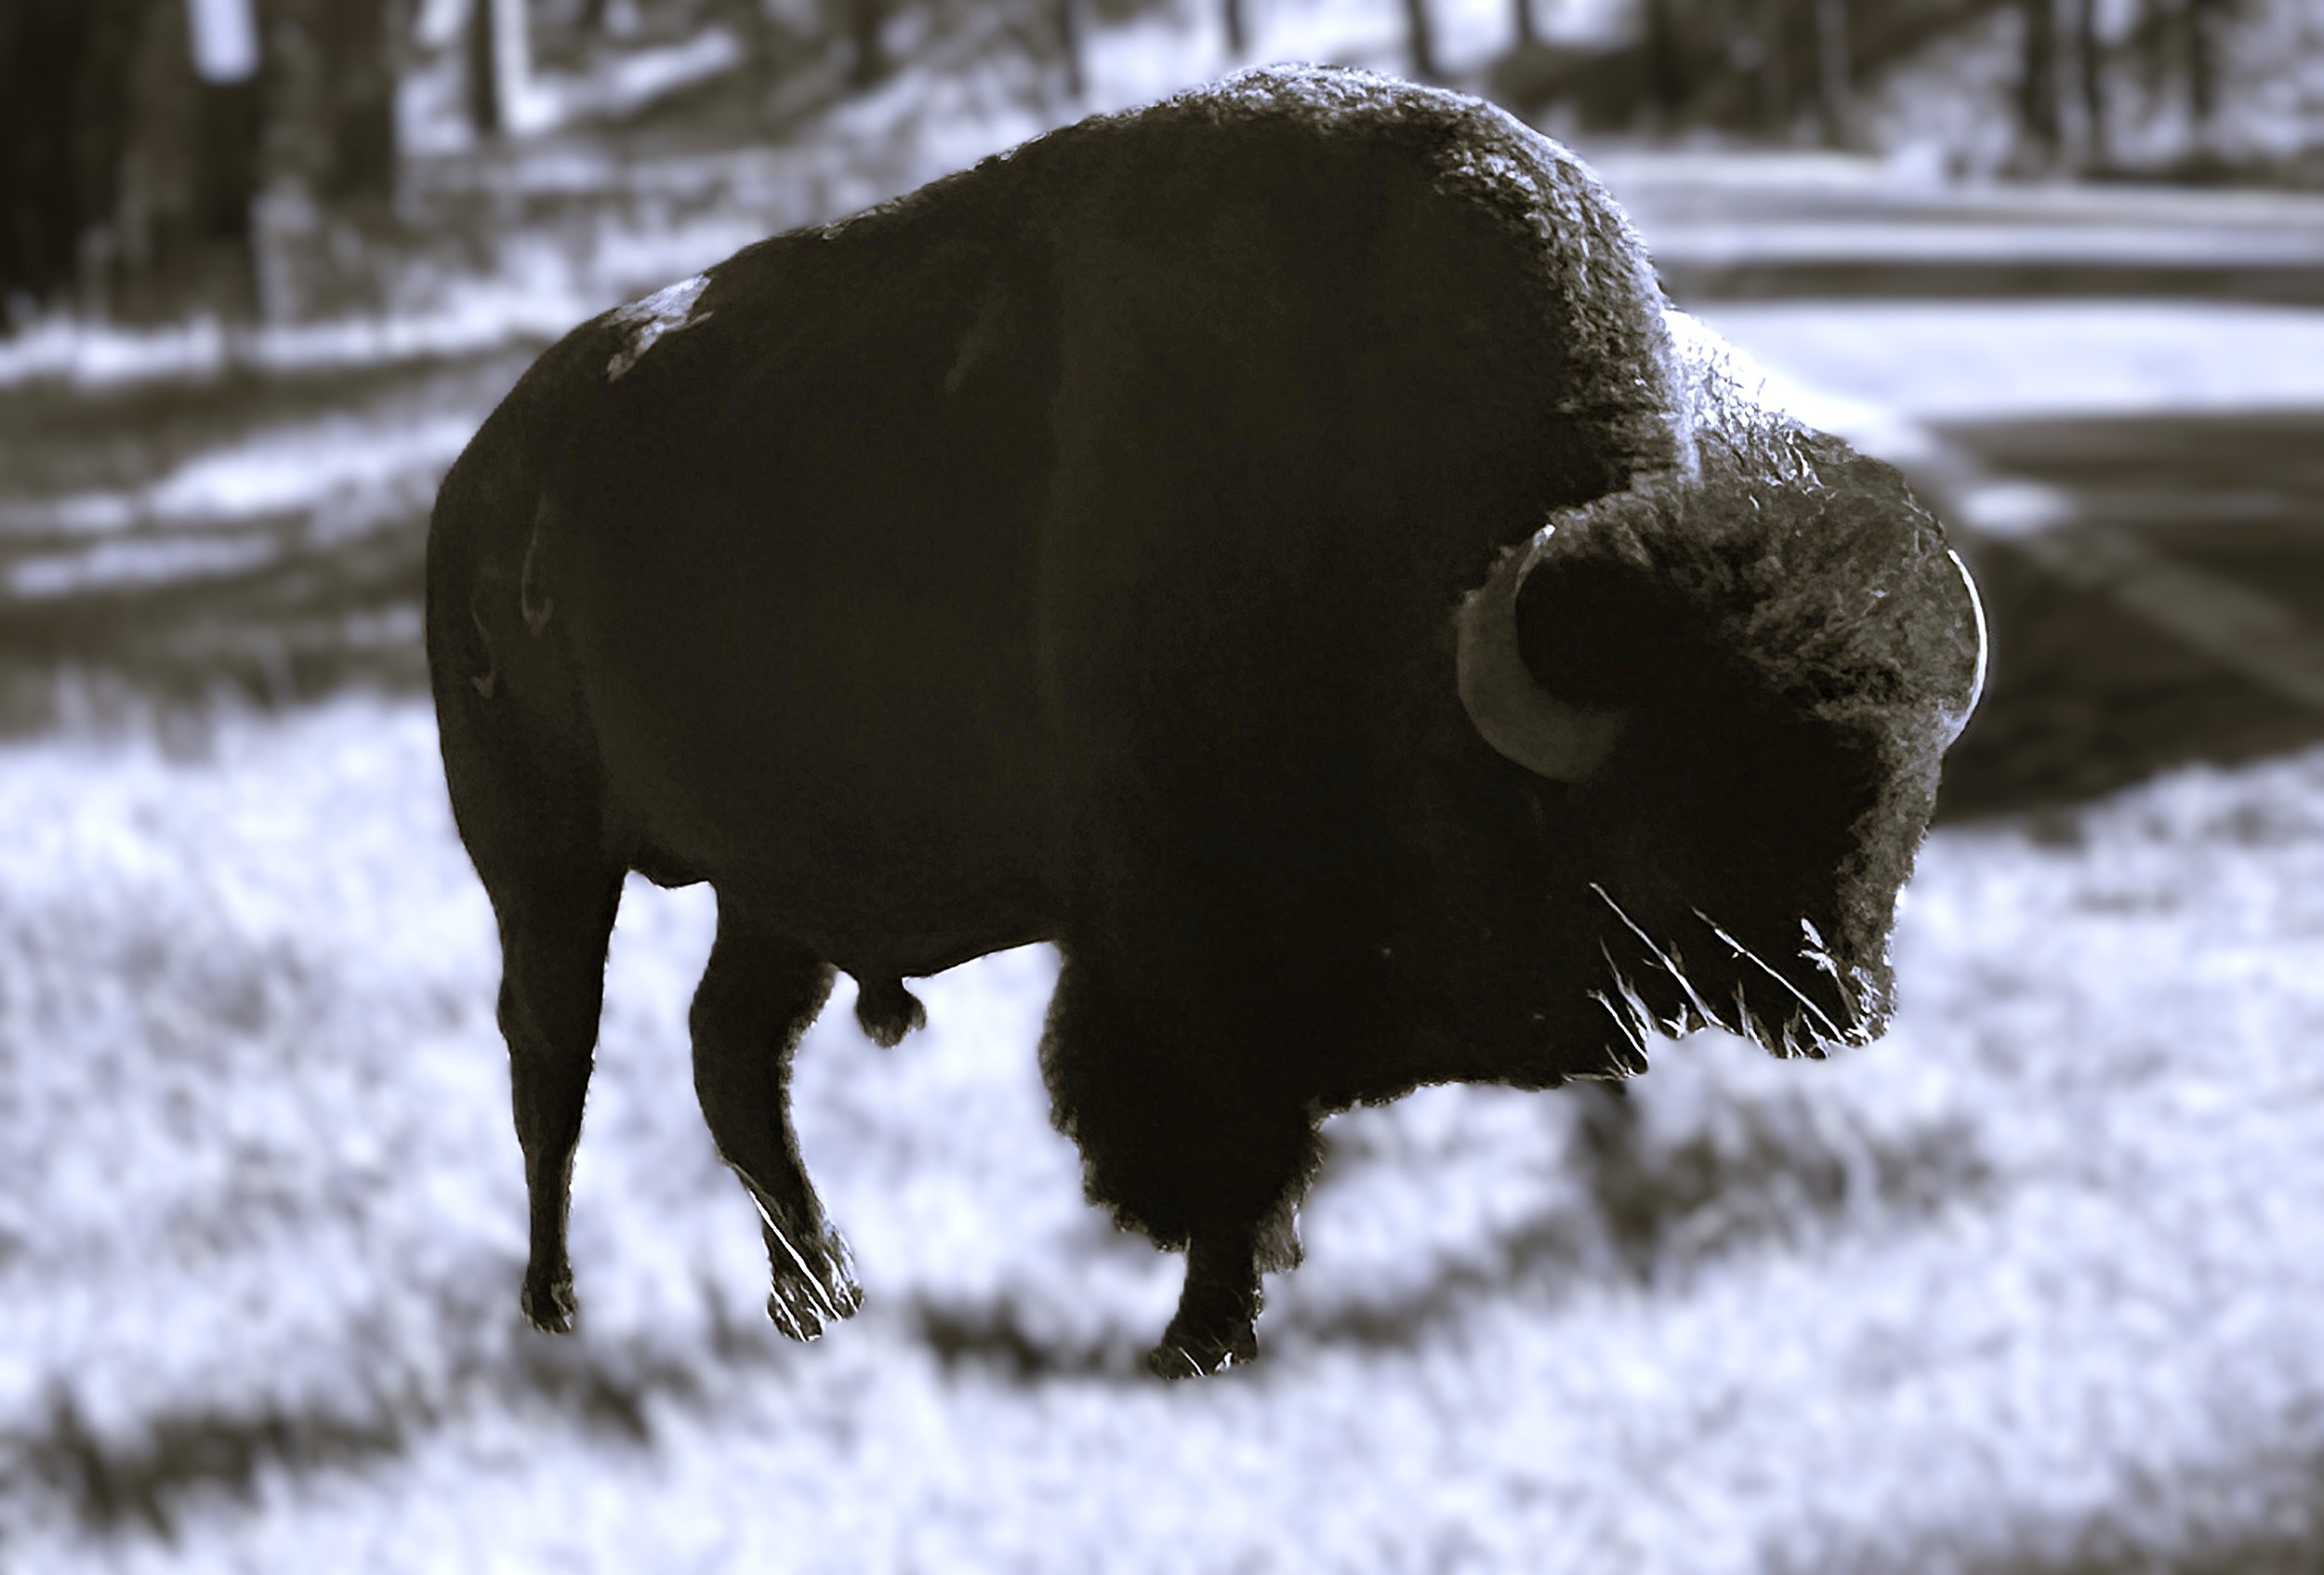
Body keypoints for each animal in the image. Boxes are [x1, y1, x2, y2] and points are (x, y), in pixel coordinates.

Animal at [426, 66, 1986, 1378]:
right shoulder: (1181, 956)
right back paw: (558, 1307)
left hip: (770, 892)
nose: (1838, 998)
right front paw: (1200, 1338)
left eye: (1905, 799)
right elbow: (1218, 1147)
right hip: (539, 861)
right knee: (552, 1055)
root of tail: (481, 471)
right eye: (1684, 801)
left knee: (730, 1051)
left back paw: (822, 1296)